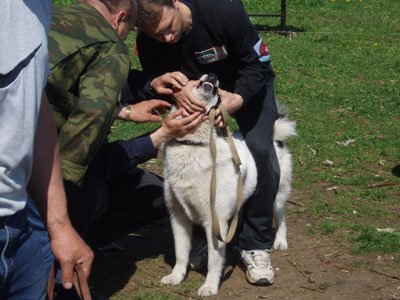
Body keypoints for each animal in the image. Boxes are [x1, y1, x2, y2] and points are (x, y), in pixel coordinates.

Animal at [161, 74, 296, 296]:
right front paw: (176, 276)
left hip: (277, 196)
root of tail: (275, 137)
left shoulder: (214, 222)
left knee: (281, 216)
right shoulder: (178, 216)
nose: (213, 76)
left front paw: (210, 286)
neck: (193, 145)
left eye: (220, 99)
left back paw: (280, 241)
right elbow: (181, 253)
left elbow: (215, 261)